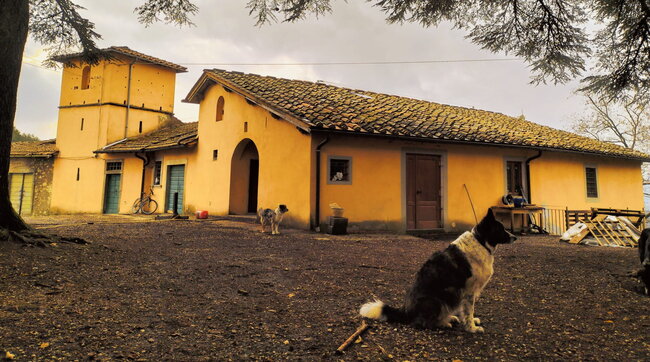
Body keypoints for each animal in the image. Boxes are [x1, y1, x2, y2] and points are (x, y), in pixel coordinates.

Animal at [356, 209, 512, 334]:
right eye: (500, 229)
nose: (515, 237)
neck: (480, 241)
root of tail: (407, 311)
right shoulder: (468, 291)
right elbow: (468, 311)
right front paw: (472, 328)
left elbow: (468, 312)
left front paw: (472, 322)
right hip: (438, 299)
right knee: (423, 323)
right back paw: (443, 323)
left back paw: (450, 318)